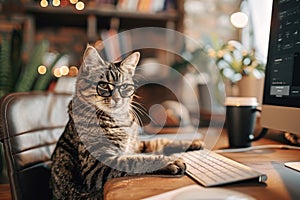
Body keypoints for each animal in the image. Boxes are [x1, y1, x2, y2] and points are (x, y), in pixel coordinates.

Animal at [50, 44, 204, 199]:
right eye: (104, 85)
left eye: (124, 86)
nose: (117, 98)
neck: (120, 119)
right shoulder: (98, 166)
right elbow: (137, 160)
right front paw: (170, 161)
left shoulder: (136, 145)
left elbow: (159, 142)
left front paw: (192, 143)